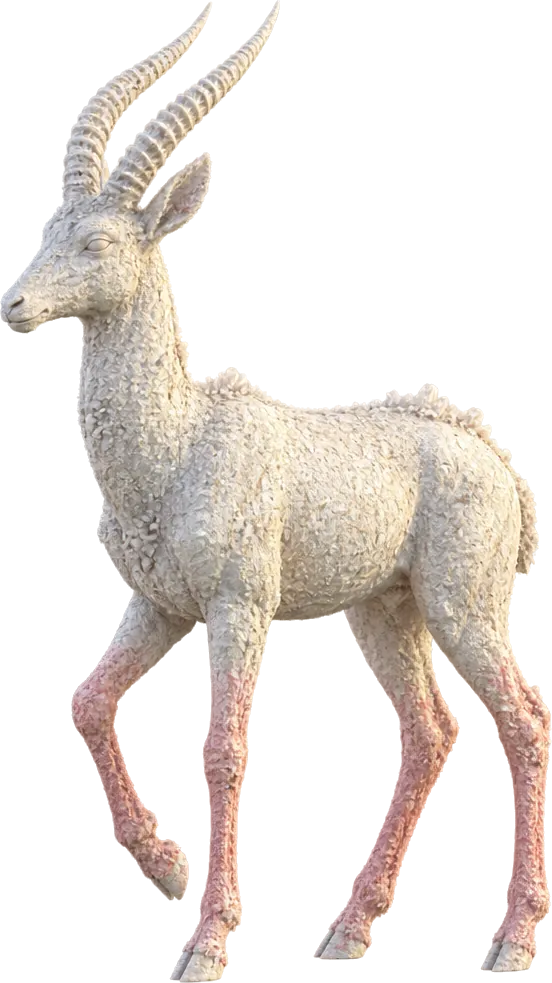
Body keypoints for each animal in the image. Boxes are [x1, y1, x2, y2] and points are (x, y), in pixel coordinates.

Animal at [1, 1, 549, 977]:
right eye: (50, 223)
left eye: (98, 241)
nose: (15, 305)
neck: (177, 450)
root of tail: (490, 454)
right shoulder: (156, 607)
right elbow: (87, 699)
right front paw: (169, 868)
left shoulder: (238, 602)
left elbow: (224, 747)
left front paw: (209, 939)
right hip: (388, 614)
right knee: (429, 734)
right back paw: (348, 928)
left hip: (464, 604)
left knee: (523, 723)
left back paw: (510, 941)